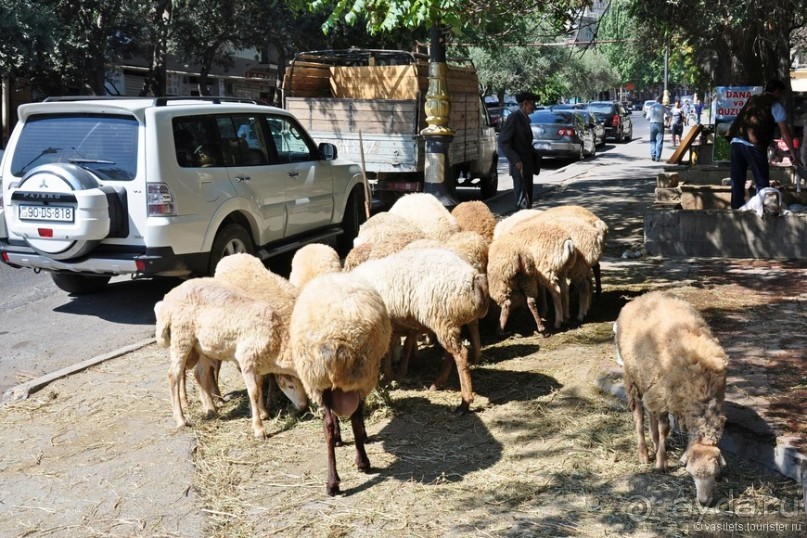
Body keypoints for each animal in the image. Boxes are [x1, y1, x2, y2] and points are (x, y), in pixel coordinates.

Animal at [288, 272, 392, 494]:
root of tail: (334, 339)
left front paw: (338, 437)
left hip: (318, 381)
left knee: (327, 424)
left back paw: (332, 482)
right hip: (360, 376)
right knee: (354, 417)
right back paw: (362, 463)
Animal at [352, 247, 490, 410]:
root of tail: (474, 276)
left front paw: (387, 376)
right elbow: (391, 349)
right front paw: (390, 375)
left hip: (441, 318)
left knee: (461, 354)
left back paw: (465, 401)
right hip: (449, 321)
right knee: (451, 354)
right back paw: (438, 383)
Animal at [616, 288, 728, 502]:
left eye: (715, 474)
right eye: (692, 474)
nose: (705, 502)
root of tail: (646, 295)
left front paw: (660, 448)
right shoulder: (663, 395)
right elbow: (665, 428)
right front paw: (661, 464)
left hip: (649, 382)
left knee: (650, 412)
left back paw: (654, 441)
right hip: (633, 377)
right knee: (639, 414)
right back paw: (644, 453)